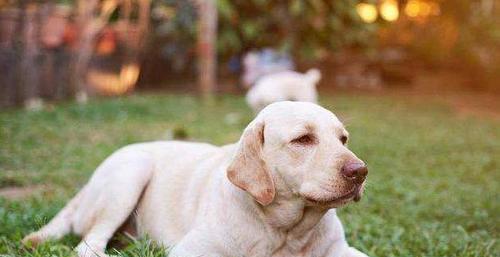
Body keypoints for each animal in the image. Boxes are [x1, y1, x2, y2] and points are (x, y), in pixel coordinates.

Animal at [22, 101, 368, 255]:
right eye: (303, 139)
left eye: (343, 139)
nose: (360, 171)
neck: (286, 231)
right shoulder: (191, 251)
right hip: (131, 170)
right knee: (88, 244)